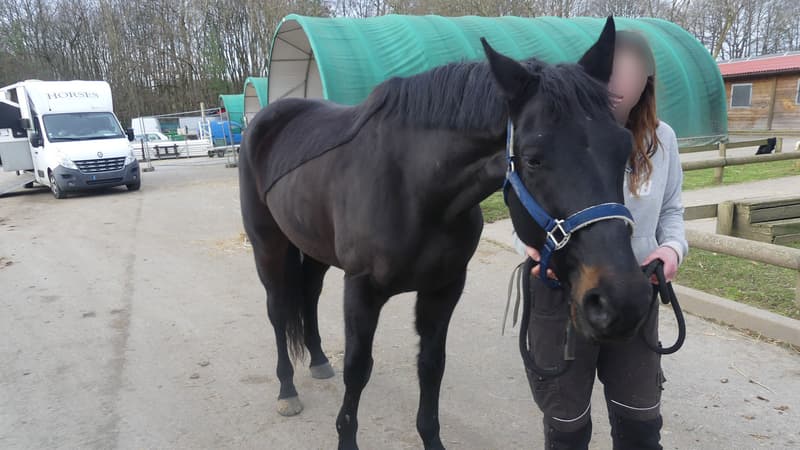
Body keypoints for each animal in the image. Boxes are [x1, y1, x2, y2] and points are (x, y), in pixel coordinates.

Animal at [239, 16, 652, 450]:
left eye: (623, 147)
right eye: (534, 159)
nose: (624, 301)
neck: (413, 187)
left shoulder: (444, 288)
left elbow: (431, 365)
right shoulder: (362, 288)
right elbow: (357, 367)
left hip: (314, 247)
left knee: (309, 295)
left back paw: (318, 360)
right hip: (268, 247)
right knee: (278, 309)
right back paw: (287, 389)